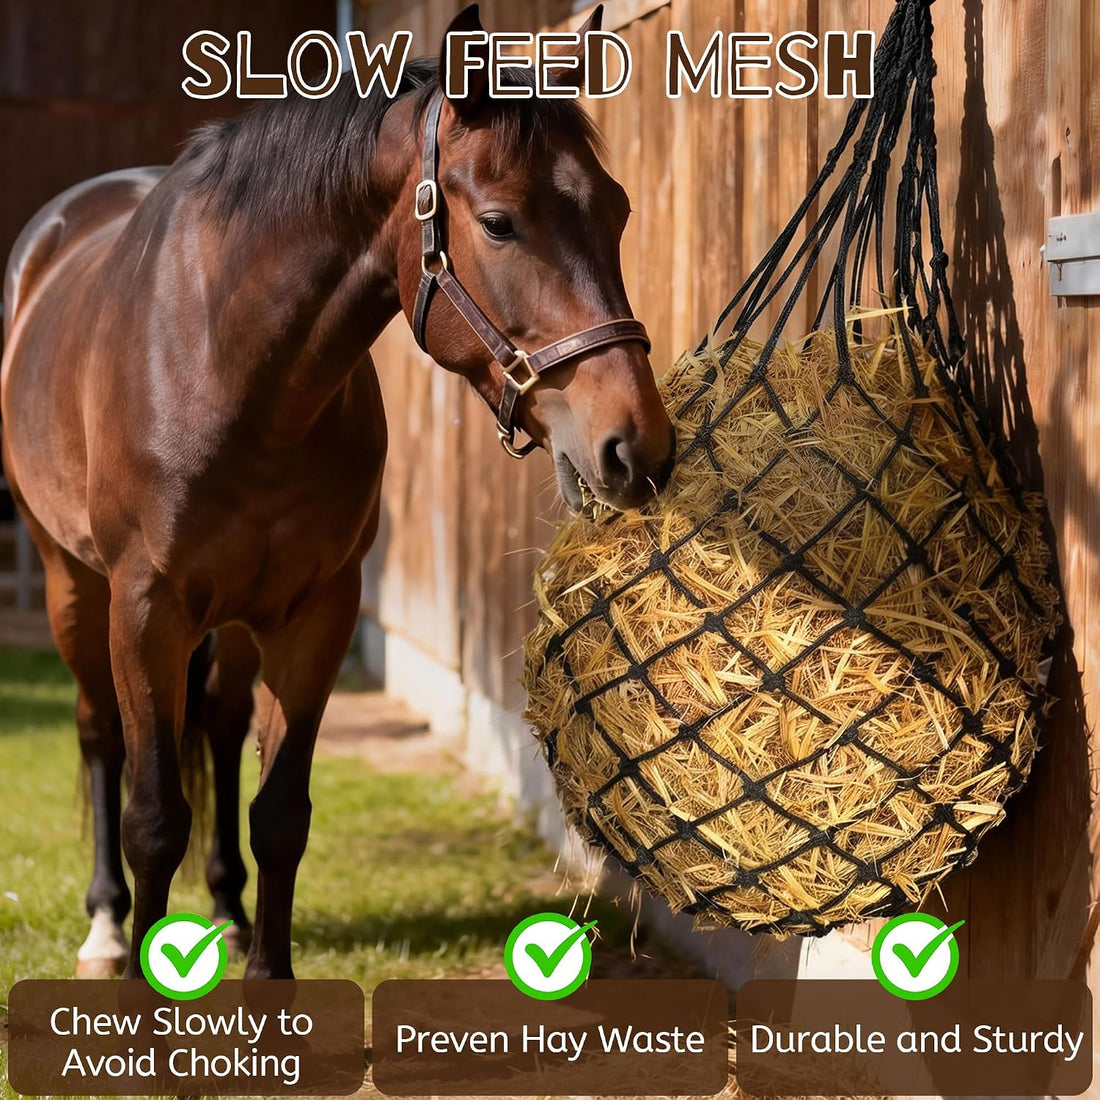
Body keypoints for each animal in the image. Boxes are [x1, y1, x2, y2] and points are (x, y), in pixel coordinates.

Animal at [0, 3, 674, 980]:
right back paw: (108, 931)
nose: (639, 444)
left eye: (616, 209)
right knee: (98, 736)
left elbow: (280, 814)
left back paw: (224, 914)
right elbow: (151, 818)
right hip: (71, 584)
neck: (230, 368)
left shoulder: (316, 611)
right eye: (500, 223)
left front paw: (267, 976)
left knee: (219, 724)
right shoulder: (145, 609)